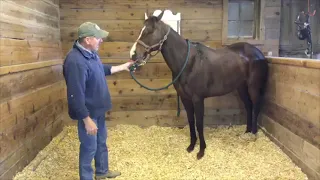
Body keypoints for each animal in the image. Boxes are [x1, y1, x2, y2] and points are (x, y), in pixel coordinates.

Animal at [129, 10, 268, 159]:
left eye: (149, 31)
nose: (133, 54)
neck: (188, 62)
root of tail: (258, 53)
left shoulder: (198, 99)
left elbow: (199, 123)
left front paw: (201, 150)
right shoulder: (185, 98)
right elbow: (191, 121)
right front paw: (191, 146)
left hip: (253, 87)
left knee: (256, 106)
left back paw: (254, 134)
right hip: (241, 87)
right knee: (248, 106)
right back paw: (247, 132)